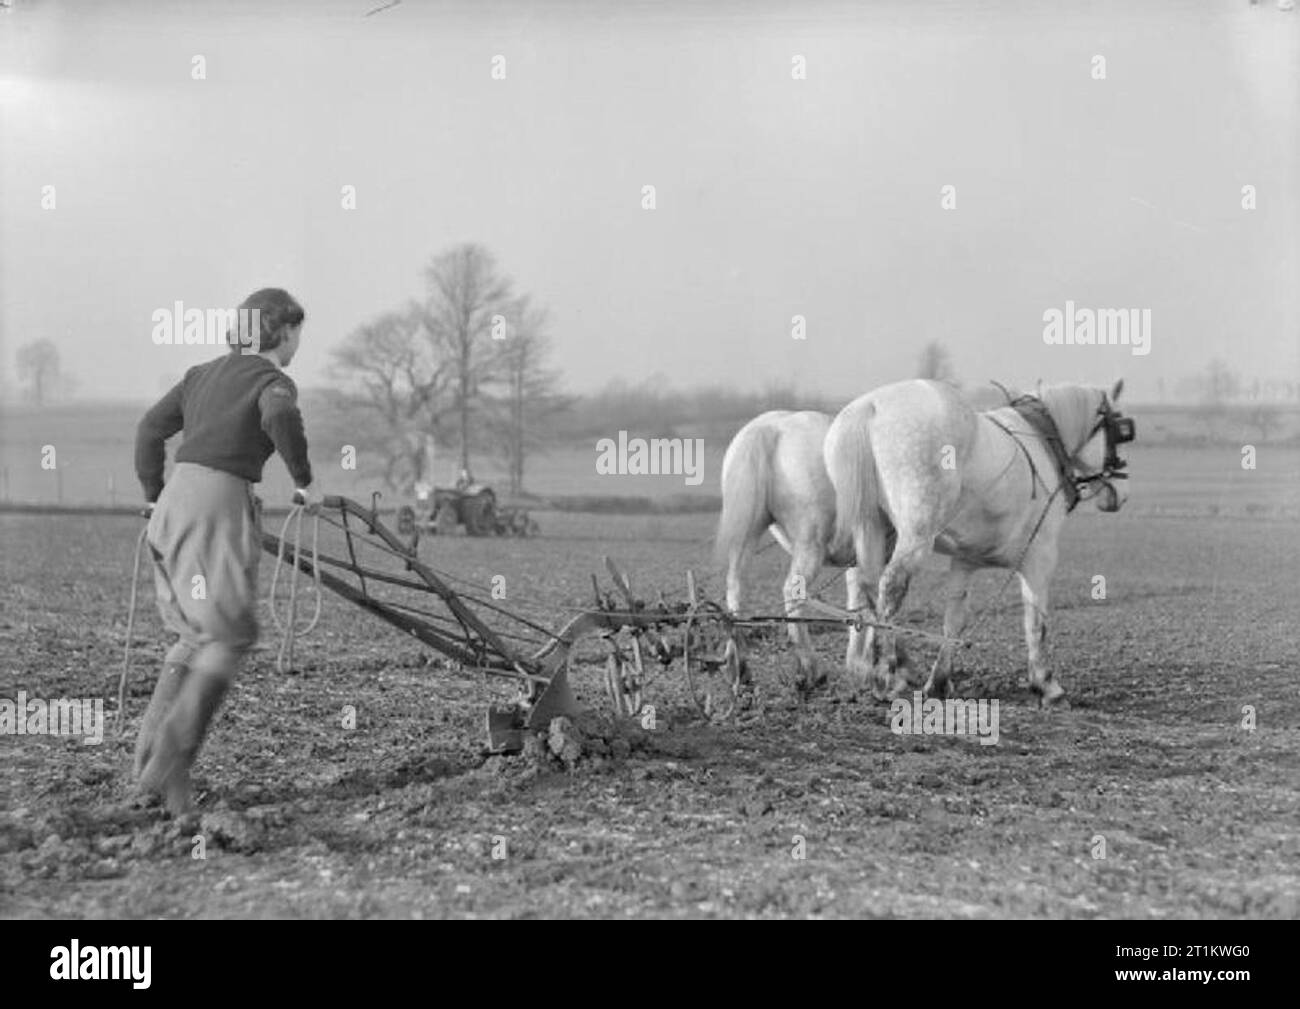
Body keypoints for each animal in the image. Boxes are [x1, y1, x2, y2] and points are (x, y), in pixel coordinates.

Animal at [717, 410, 857, 686]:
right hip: (810, 544)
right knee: (793, 592)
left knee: (736, 587)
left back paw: (738, 666)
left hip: (746, 533)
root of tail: (772, 427)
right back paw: (810, 669)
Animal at [826, 382, 1133, 707]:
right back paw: (886, 674)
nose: (1121, 493)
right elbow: (1036, 621)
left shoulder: (965, 561)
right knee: (890, 588)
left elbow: (954, 620)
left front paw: (939, 682)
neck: (1044, 440)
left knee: (863, 586)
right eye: (1122, 430)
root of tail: (870, 406)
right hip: (915, 535)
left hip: (872, 528)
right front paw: (1047, 686)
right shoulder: (1040, 556)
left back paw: (866, 665)